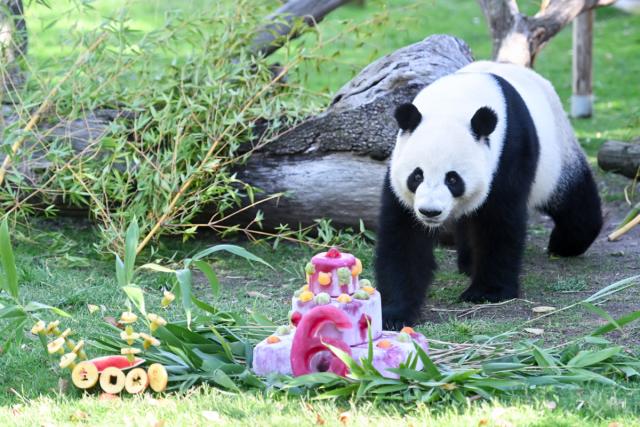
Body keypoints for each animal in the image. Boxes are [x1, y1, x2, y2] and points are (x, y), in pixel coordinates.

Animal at [374, 60, 603, 328]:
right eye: (416, 176)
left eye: (453, 179)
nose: (430, 211)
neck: (454, 102)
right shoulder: (399, 171)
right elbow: (404, 237)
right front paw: (393, 313)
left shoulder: (508, 153)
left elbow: (499, 222)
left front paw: (487, 293)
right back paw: (467, 263)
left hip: (557, 152)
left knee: (572, 200)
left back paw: (564, 244)